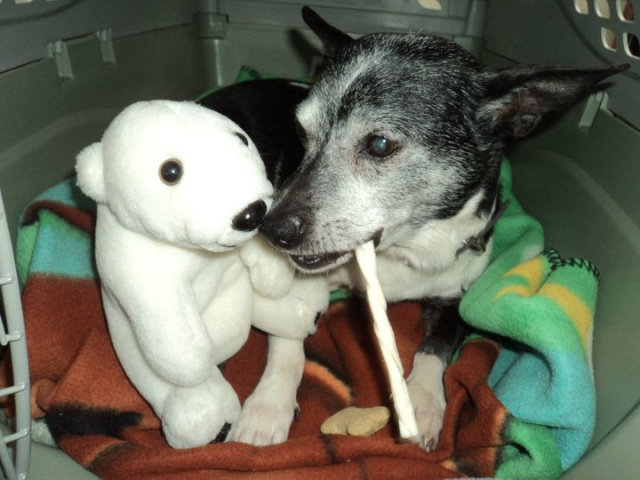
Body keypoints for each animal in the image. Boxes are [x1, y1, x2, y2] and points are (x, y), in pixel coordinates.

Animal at [204, 7, 624, 448]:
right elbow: (287, 338)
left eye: (380, 145)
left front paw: (422, 401)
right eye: (301, 134)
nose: (273, 230)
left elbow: (435, 349)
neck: (402, 249)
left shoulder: (458, 298)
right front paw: (268, 407)